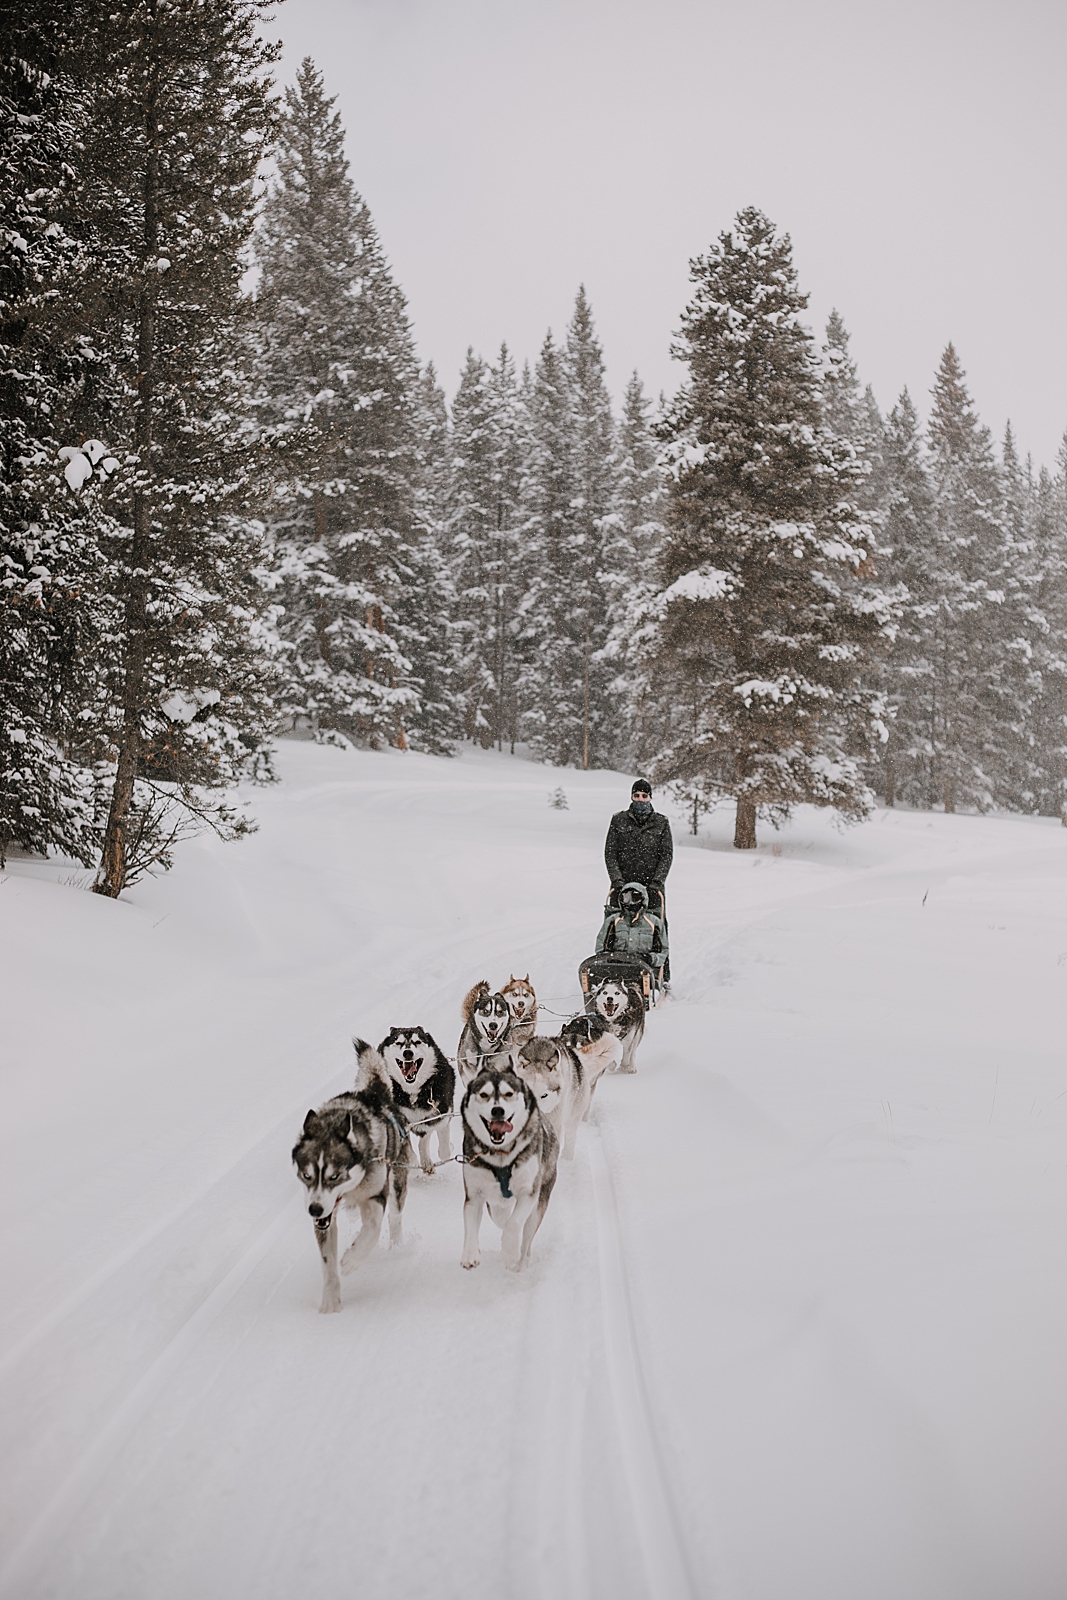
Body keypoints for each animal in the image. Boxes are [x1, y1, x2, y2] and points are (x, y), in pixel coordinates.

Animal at [292, 1036, 409, 1312]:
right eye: (307, 1175)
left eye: (334, 1176)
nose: (314, 1209)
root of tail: (373, 1093)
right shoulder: (325, 1217)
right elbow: (328, 1263)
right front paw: (330, 1301)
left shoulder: (376, 1195)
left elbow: (373, 1229)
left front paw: (352, 1259)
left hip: (397, 1179)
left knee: (394, 1217)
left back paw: (396, 1245)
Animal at [379, 1024, 454, 1177]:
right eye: (399, 1043)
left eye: (417, 1042)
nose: (408, 1053)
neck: (413, 1091)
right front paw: (412, 1163)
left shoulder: (441, 1115)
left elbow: (443, 1148)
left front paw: (445, 1149)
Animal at [460, 1062, 559, 1273]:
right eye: (484, 1094)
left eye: (509, 1093)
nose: (498, 1110)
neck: (501, 1155)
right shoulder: (474, 1194)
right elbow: (472, 1226)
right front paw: (470, 1253)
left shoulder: (529, 1191)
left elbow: (514, 1224)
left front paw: (510, 1251)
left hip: (540, 1201)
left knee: (527, 1237)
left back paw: (520, 1263)